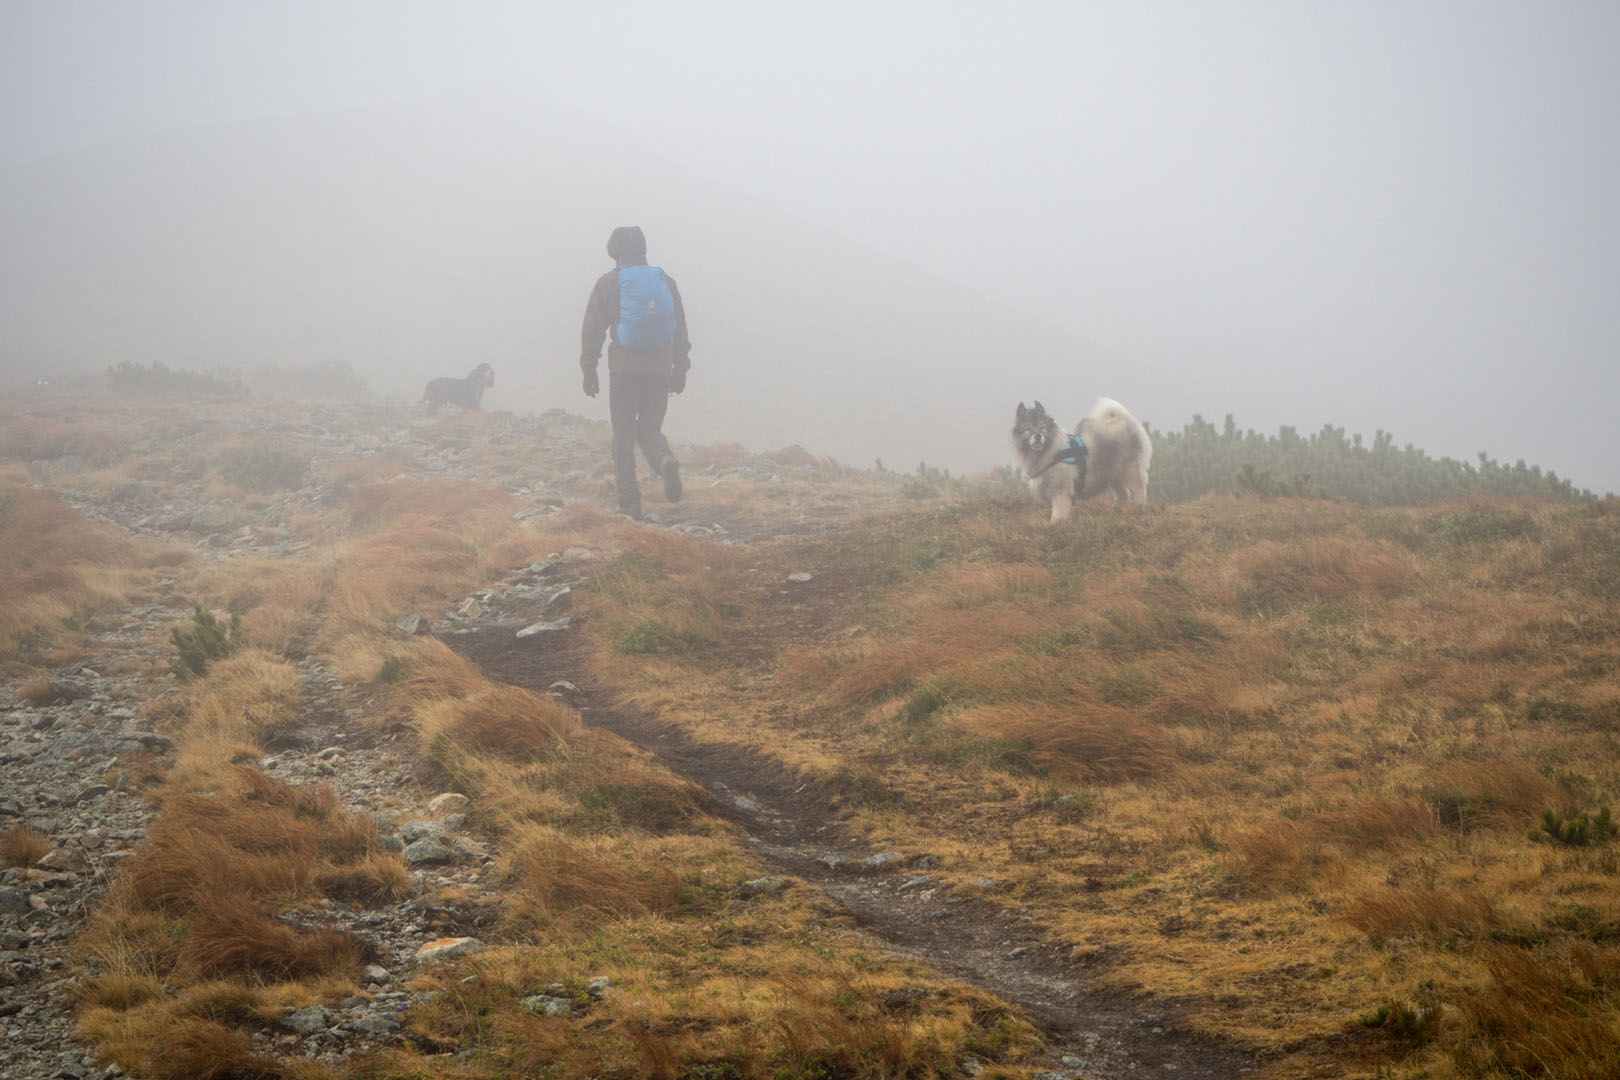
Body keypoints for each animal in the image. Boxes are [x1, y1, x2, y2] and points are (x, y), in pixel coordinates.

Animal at [1010, 401, 1153, 527]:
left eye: (1042, 428)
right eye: (1027, 429)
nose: (1038, 436)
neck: (1051, 453)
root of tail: (1126, 422)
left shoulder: (1060, 495)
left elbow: (1057, 517)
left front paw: (1055, 527)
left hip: (1131, 472)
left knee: (1140, 493)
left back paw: (1139, 510)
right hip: (1111, 475)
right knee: (1123, 494)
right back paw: (1114, 511)